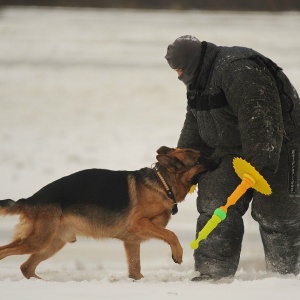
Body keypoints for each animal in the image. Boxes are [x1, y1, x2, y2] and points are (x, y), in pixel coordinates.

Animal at [0, 146, 216, 280]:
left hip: (52, 243)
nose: (218, 157)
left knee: (26, 267)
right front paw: (177, 253)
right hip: (39, 240)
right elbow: (171, 234)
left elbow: (135, 270)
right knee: (6, 253)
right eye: (199, 160)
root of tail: (30, 199)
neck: (163, 184)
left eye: (202, 154)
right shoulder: (139, 223)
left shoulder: (132, 241)